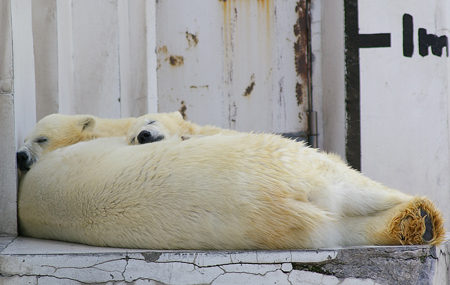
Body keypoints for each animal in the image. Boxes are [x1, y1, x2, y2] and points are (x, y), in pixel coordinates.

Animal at [16, 131, 442, 248]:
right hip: (280, 157)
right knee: (348, 182)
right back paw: (419, 213)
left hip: (296, 222)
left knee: (340, 228)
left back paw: (414, 223)